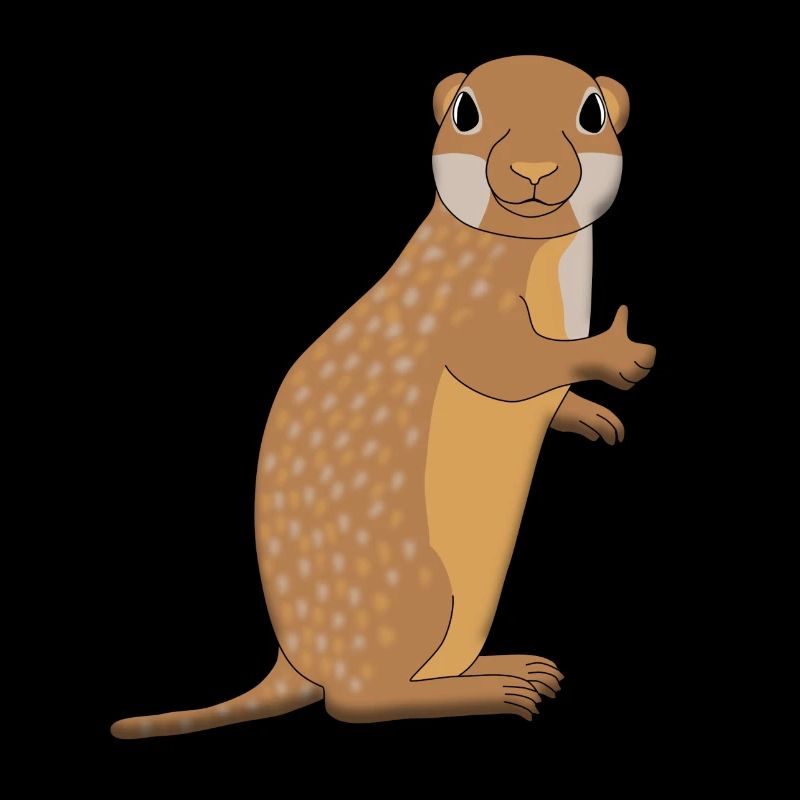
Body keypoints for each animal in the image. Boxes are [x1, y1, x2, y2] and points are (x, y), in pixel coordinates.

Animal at [112, 55, 655, 737]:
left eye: (592, 114)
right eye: (466, 114)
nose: (533, 170)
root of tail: (296, 662)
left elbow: (548, 394)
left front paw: (590, 414)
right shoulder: (469, 308)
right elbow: (506, 365)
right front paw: (614, 355)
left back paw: (499, 668)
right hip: (418, 585)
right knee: (357, 702)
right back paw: (489, 690)